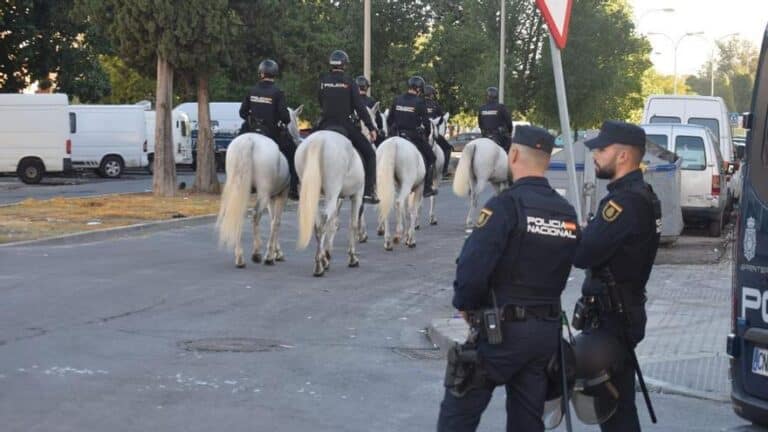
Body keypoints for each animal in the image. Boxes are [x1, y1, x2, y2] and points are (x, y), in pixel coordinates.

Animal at [218, 106, 304, 266]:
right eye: (296, 123)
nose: (299, 140)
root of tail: (249, 141)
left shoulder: (272, 197)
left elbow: (271, 221)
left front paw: (276, 252)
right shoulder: (282, 194)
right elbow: (276, 222)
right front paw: (271, 255)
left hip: (240, 189)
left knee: (238, 212)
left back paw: (240, 257)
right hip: (262, 193)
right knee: (256, 215)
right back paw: (256, 253)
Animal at [296, 130, 364, 276]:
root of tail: (319, 140)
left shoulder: (339, 197)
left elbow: (333, 224)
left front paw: (327, 256)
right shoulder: (357, 195)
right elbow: (353, 224)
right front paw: (352, 258)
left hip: (314, 195)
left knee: (318, 225)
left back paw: (321, 261)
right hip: (332, 192)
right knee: (323, 223)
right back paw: (319, 267)